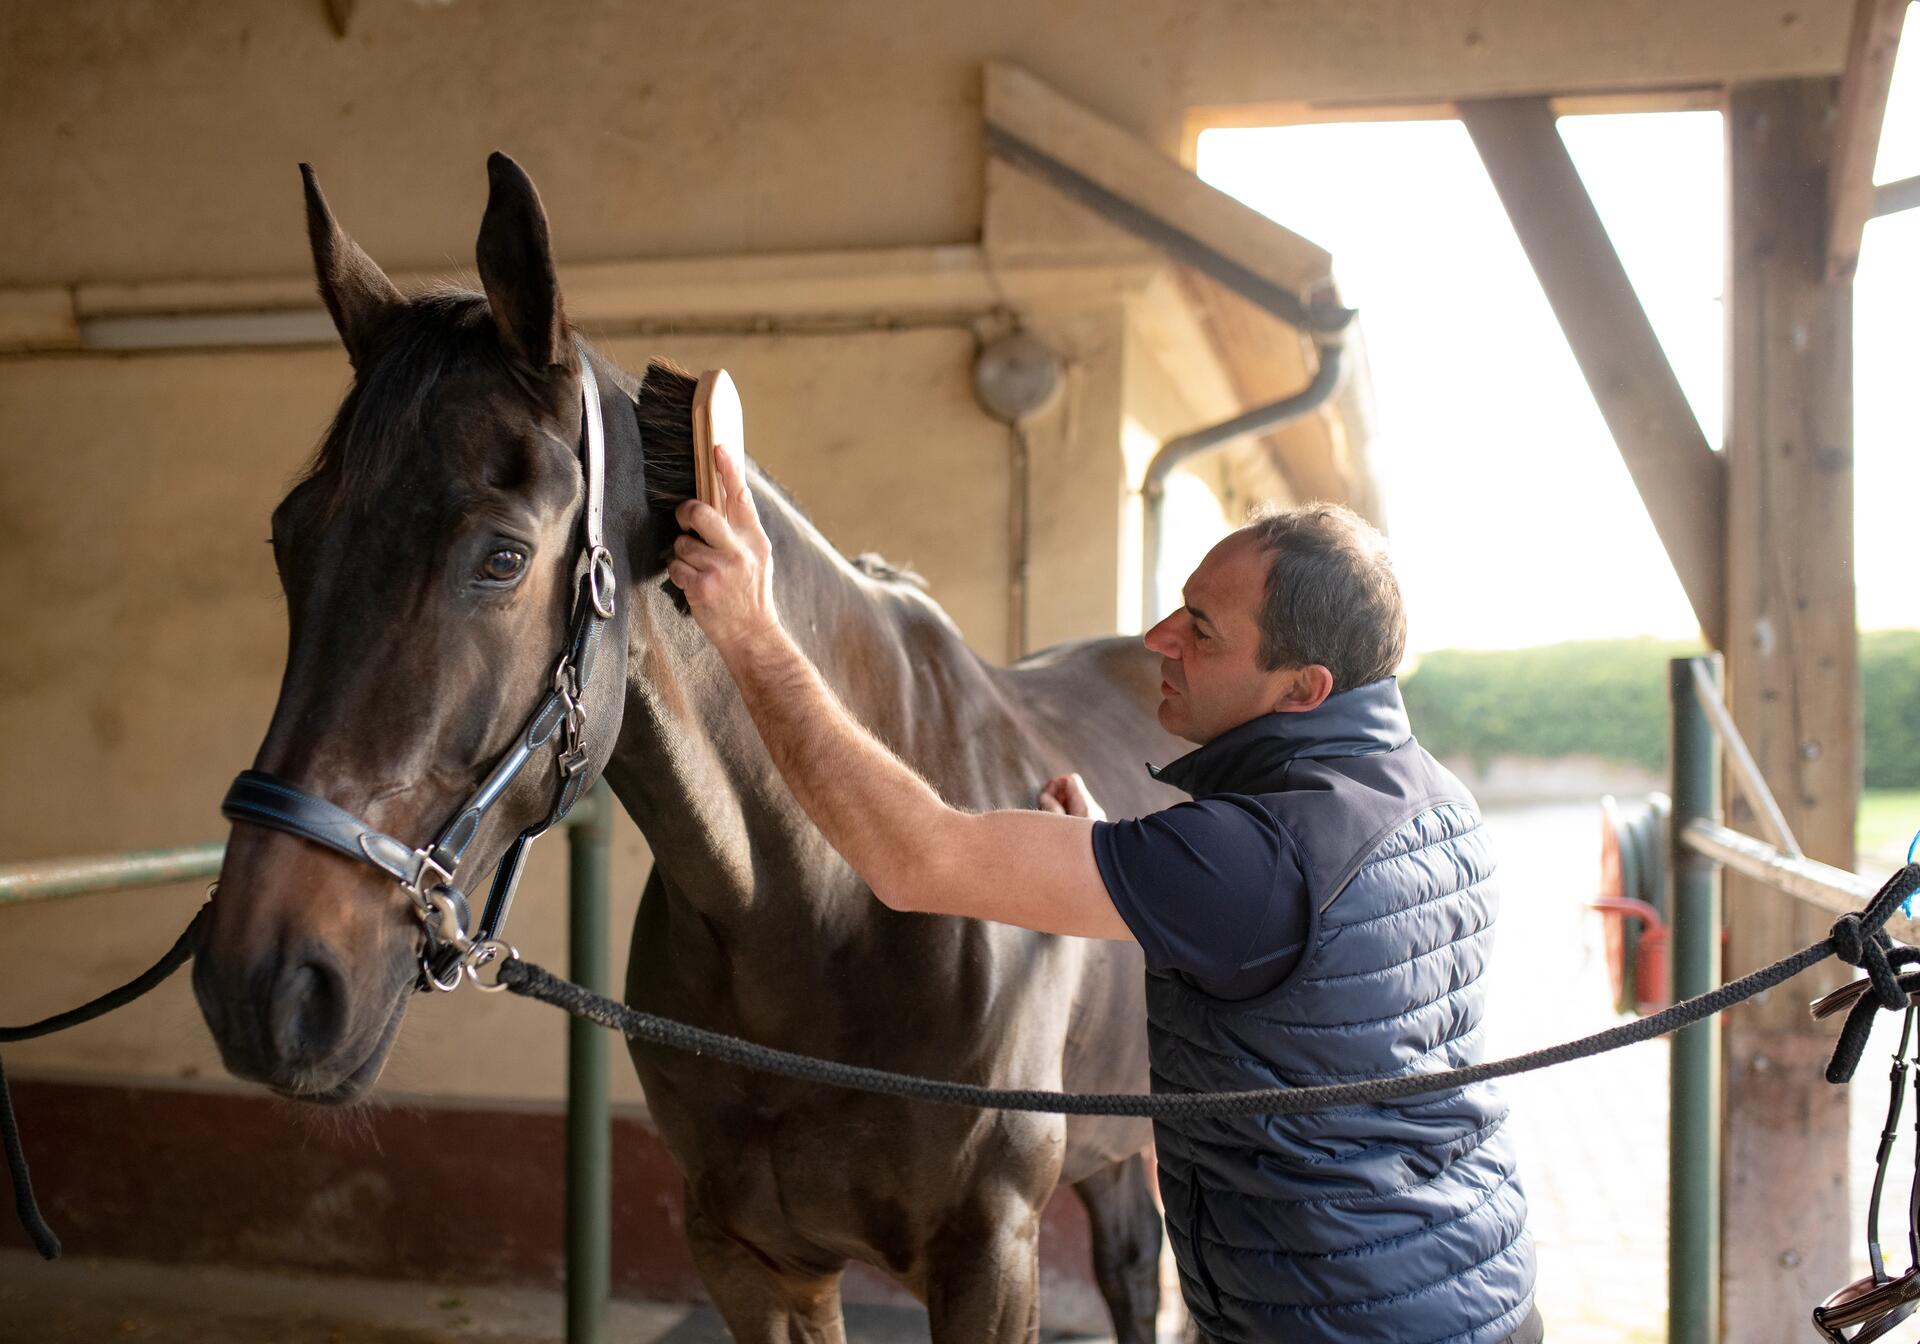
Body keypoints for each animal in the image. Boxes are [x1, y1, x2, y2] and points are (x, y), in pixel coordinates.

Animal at [194, 157, 1182, 1344]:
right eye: (289, 539)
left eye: (503, 557)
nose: (263, 984)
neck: (823, 914)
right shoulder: (751, 1258)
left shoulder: (990, 1260)